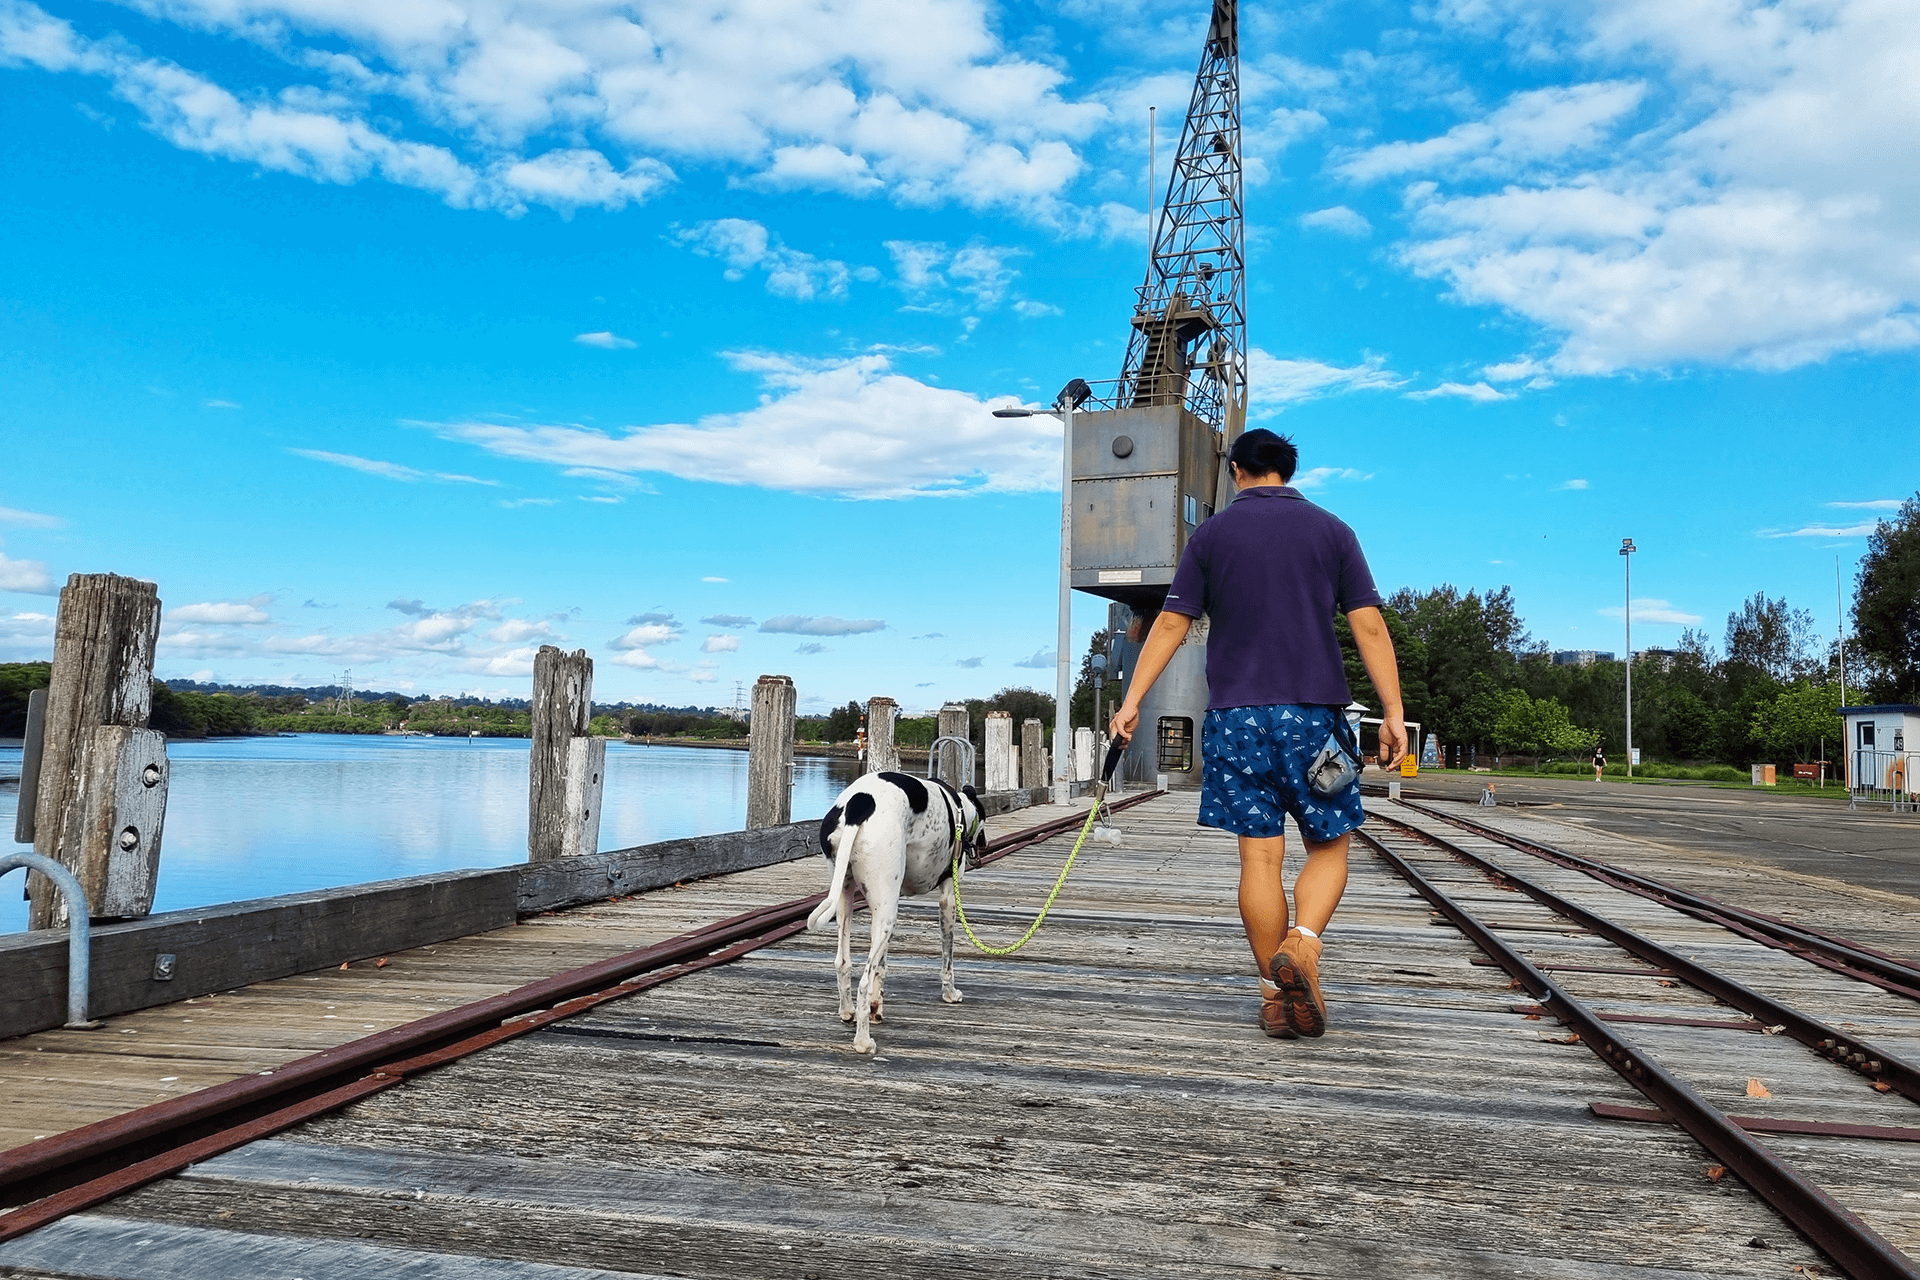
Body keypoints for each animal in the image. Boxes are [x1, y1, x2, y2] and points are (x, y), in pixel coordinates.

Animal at [806, 771, 990, 1051]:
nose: (985, 844)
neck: (959, 809)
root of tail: (857, 805)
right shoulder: (948, 899)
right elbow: (947, 958)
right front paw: (950, 993)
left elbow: (881, 967)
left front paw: (876, 1008)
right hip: (886, 910)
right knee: (863, 981)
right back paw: (863, 1041)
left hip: (854, 900)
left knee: (843, 962)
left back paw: (848, 1012)